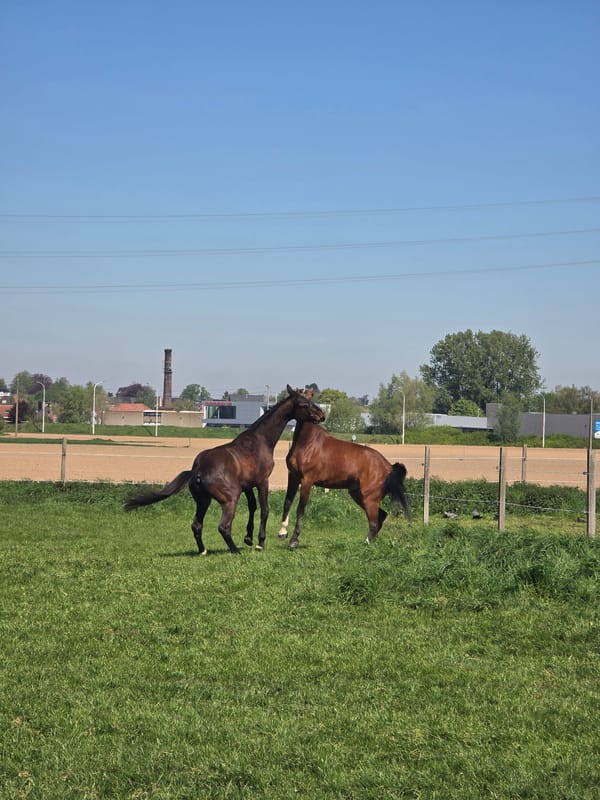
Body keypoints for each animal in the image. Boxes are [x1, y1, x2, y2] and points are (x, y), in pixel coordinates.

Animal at [124, 385, 325, 555]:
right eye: (303, 403)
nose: (321, 415)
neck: (259, 441)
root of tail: (198, 470)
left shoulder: (247, 485)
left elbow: (252, 506)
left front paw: (248, 538)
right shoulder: (262, 482)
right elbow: (264, 509)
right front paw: (259, 542)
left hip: (203, 500)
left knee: (197, 525)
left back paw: (203, 551)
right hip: (230, 499)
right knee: (223, 526)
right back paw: (234, 550)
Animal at [278, 418, 410, 548]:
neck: (309, 443)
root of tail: (388, 467)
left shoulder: (307, 481)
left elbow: (300, 510)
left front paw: (293, 541)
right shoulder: (293, 477)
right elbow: (287, 503)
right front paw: (283, 534)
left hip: (369, 499)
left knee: (373, 522)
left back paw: (366, 544)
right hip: (358, 496)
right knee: (381, 516)